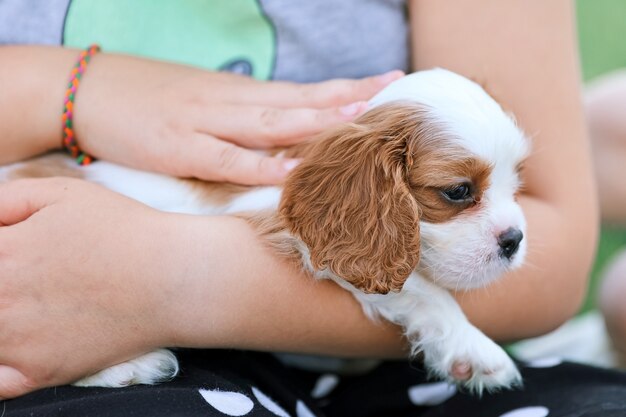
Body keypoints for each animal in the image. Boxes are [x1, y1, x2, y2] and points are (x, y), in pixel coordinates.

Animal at [1, 68, 528, 394]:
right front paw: (473, 347)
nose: (514, 240)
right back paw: (128, 366)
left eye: (516, 182)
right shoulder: (278, 224)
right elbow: (423, 288)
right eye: (458, 191)